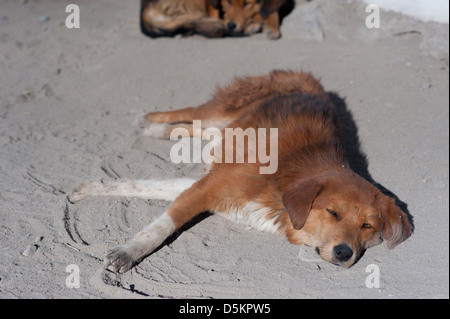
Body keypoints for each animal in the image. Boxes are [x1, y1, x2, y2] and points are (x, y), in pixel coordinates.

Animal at [69, 69, 412, 272]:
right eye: (333, 212)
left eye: (367, 226)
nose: (344, 253)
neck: (283, 186)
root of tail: (308, 78)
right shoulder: (207, 188)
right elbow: (160, 227)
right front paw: (128, 252)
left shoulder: (206, 185)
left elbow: (141, 185)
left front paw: (90, 188)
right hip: (222, 109)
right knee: (188, 113)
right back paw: (150, 121)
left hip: (223, 126)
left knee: (190, 128)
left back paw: (156, 131)